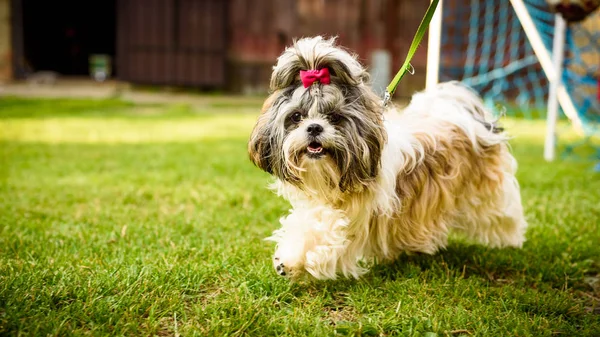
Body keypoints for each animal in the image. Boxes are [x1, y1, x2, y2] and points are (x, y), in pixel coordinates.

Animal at [247, 35, 524, 280]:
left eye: (334, 117)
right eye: (297, 117)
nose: (314, 127)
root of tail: (457, 113)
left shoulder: (356, 218)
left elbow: (327, 229)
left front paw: (292, 259)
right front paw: (289, 257)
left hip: (488, 194)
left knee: (501, 214)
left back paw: (511, 239)